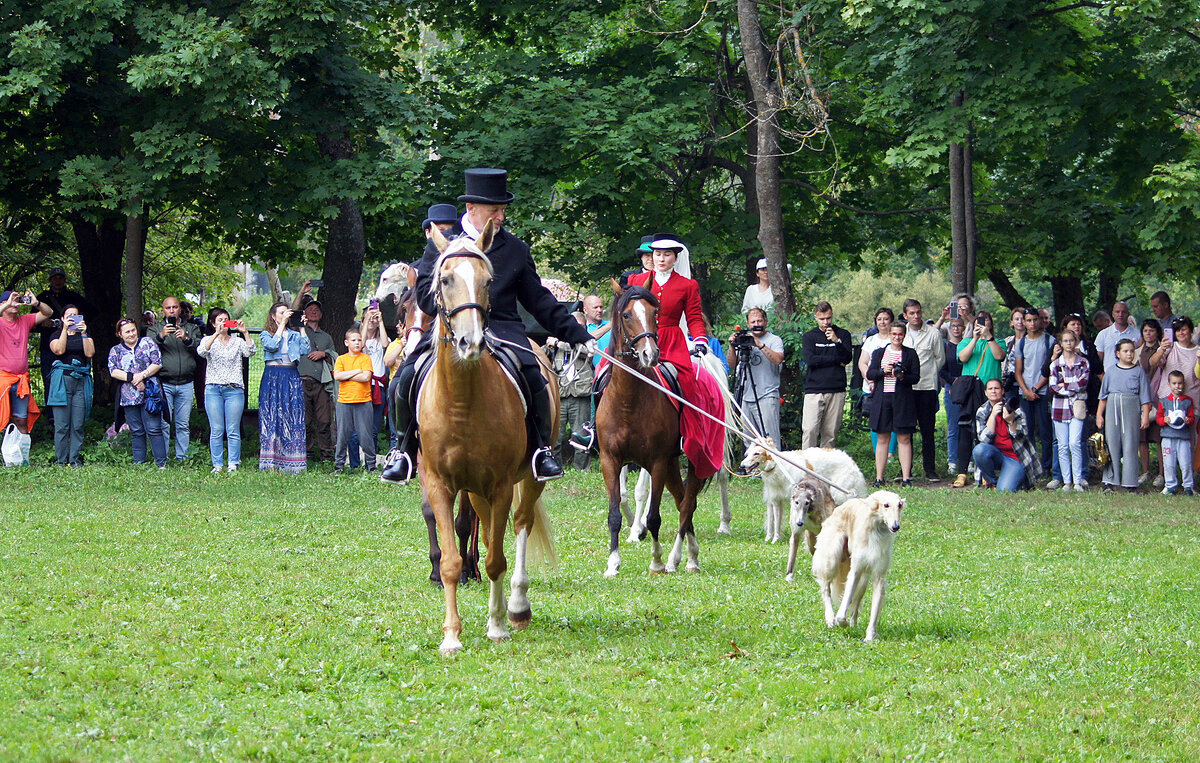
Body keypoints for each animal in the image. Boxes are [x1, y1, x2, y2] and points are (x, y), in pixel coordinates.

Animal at [420, 221, 554, 657]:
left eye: (487, 280)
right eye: (444, 279)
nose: (471, 343)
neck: (462, 401)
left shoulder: (500, 485)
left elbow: (498, 558)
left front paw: (496, 626)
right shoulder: (441, 485)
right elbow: (450, 560)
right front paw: (451, 636)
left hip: (527, 480)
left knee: (520, 524)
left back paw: (516, 607)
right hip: (475, 490)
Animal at [592, 283, 705, 575]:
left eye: (656, 312)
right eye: (627, 315)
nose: (650, 354)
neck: (628, 401)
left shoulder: (657, 461)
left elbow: (654, 516)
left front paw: (656, 560)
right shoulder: (610, 460)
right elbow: (615, 512)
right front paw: (613, 563)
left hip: (691, 460)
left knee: (688, 503)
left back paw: (683, 558)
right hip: (673, 463)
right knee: (682, 500)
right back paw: (688, 556)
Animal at [734, 434, 868, 542]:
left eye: (757, 453)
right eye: (748, 454)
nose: (742, 465)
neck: (778, 465)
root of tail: (851, 461)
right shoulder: (775, 499)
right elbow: (774, 522)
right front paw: (772, 539)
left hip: (840, 494)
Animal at [811, 491, 902, 643]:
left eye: (900, 505)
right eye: (886, 505)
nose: (896, 526)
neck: (875, 528)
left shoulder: (879, 575)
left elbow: (873, 611)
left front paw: (870, 636)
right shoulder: (855, 571)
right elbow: (841, 615)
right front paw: (842, 623)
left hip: (863, 580)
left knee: (855, 604)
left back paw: (853, 624)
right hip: (832, 559)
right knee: (826, 589)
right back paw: (830, 618)